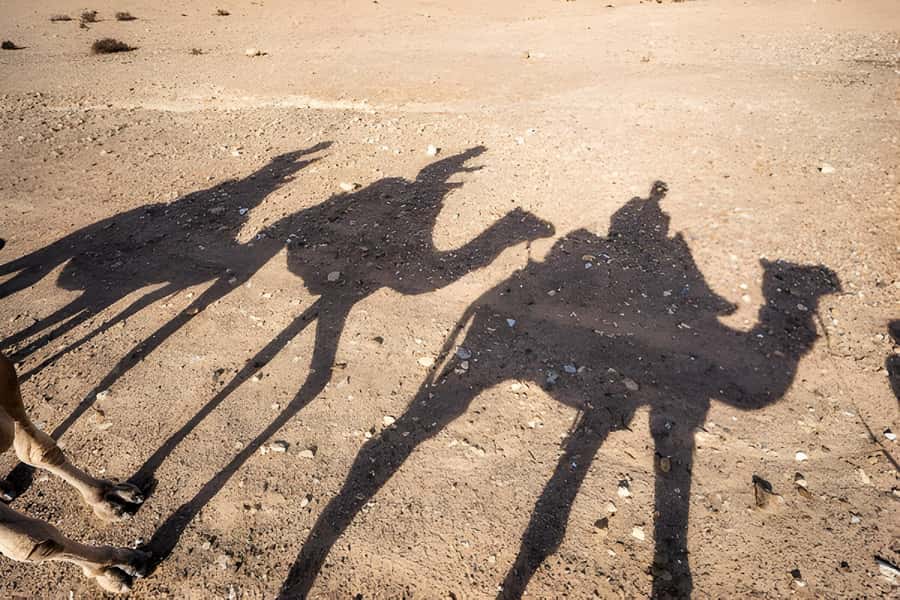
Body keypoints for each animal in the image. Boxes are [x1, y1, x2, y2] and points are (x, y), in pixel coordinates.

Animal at [280, 182, 840, 598]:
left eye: (814, 275)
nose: (834, 287)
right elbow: (550, 528)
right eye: (799, 275)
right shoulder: (631, 407)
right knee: (386, 437)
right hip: (481, 358)